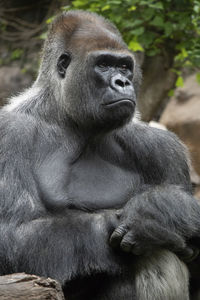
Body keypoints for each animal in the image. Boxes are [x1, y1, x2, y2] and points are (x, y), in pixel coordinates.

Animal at [0, 9, 200, 300]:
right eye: (103, 64)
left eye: (125, 67)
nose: (123, 82)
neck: (65, 115)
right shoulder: (8, 132)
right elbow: (12, 233)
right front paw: (150, 219)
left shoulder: (163, 148)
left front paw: (165, 211)